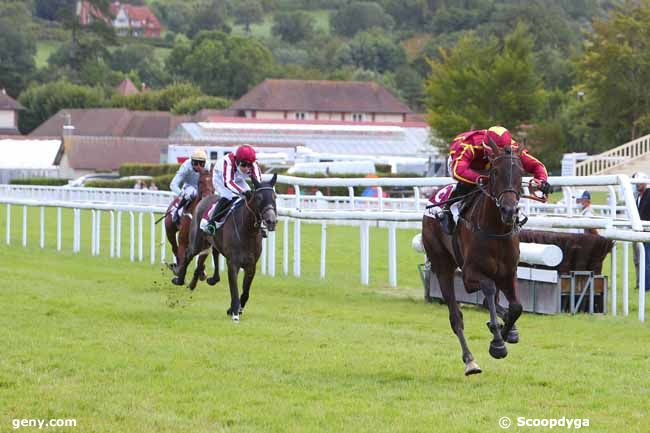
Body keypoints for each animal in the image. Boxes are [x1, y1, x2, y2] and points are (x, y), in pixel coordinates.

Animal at [170, 173, 276, 320]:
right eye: (259, 198)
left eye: (274, 197)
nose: (271, 220)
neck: (247, 231)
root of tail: (204, 199)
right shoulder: (233, 263)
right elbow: (234, 289)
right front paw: (235, 312)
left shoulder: (251, 265)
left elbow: (245, 292)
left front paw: (236, 309)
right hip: (197, 242)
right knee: (188, 254)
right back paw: (179, 278)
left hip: (212, 241)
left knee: (214, 252)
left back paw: (210, 279)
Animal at [420, 141, 532, 374]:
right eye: (495, 172)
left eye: (521, 173)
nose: (509, 210)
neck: (496, 229)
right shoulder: (470, 274)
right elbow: (487, 289)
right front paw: (498, 344)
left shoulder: (509, 273)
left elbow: (516, 307)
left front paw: (506, 331)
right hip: (442, 266)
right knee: (456, 317)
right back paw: (470, 360)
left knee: (491, 302)